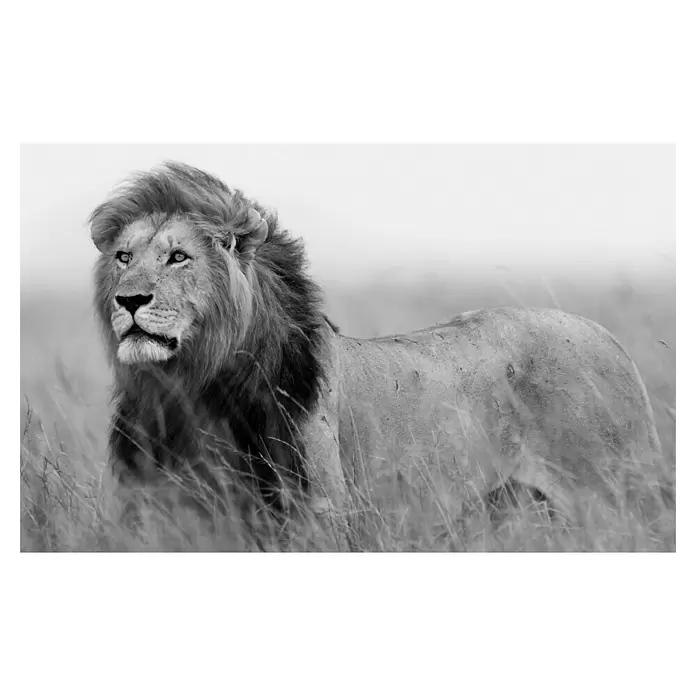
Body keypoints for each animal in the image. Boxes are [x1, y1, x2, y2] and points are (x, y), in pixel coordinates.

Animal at [90, 161, 664, 543]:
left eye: (178, 257)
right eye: (123, 258)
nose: (129, 300)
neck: (190, 389)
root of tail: (608, 337)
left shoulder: (318, 517)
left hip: (616, 500)